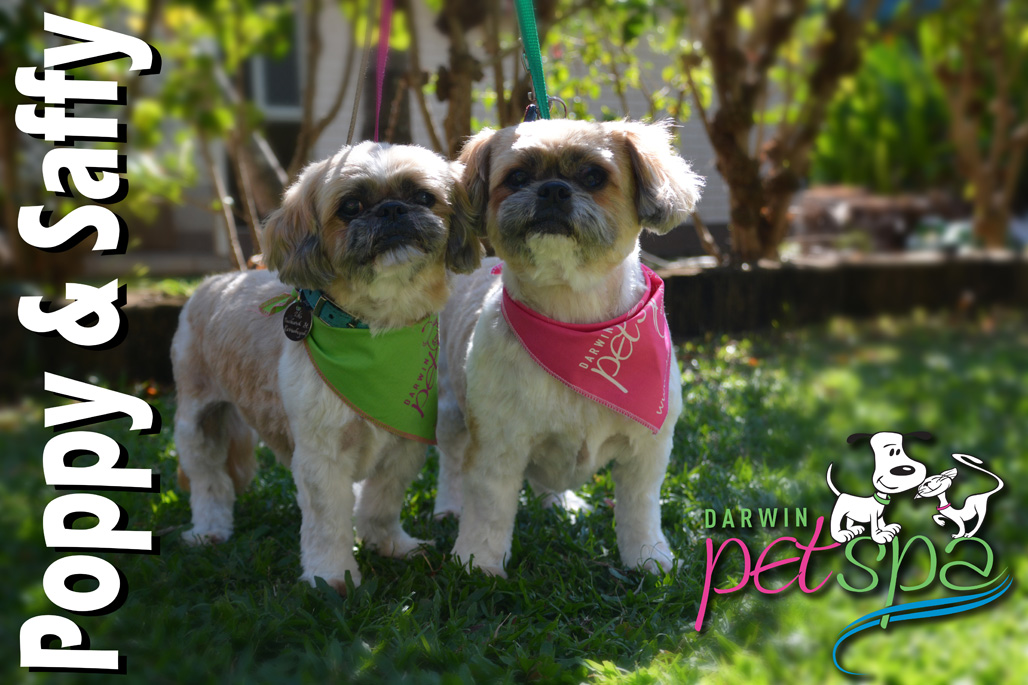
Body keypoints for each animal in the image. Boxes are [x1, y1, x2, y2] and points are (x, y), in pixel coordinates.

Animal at [172, 142, 480, 592]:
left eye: (424, 197)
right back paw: (209, 529)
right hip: (198, 419)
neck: (375, 333)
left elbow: (381, 501)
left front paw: (389, 543)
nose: (392, 209)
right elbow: (328, 520)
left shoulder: (403, 443)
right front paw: (332, 575)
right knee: (210, 480)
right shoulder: (323, 452)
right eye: (350, 206)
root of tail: (214, 281)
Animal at [433, 119, 703, 577]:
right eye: (517, 177)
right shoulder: (497, 444)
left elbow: (640, 509)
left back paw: (559, 504)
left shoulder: (647, 449)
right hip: (451, 410)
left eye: (593, 176)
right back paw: (448, 508)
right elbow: (489, 511)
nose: (553, 190)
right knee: (450, 463)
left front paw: (648, 557)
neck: (574, 324)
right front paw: (478, 563)